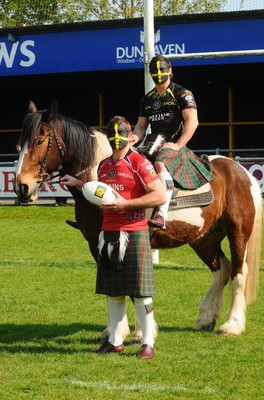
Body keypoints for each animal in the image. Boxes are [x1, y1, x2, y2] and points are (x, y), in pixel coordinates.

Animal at [14, 98, 264, 336]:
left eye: (39, 141)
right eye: (18, 145)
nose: (22, 187)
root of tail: (240, 171)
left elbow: (134, 287)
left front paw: (140, 332)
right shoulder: (97, 244)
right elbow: (112, 287)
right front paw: (117, 331)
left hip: (238, 232)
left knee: (238, 274)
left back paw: (232, 325)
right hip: (203, 238)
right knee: (221, 271)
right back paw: (206, 317)